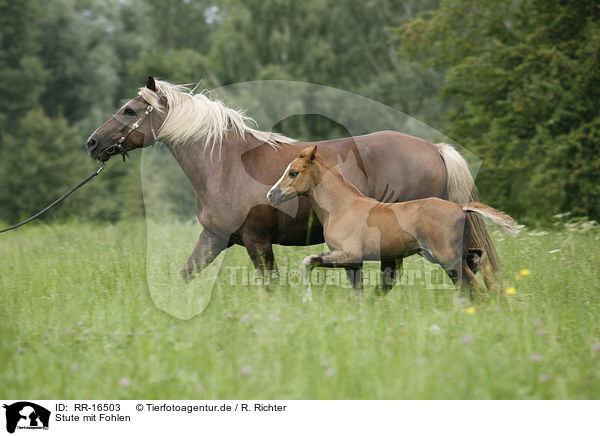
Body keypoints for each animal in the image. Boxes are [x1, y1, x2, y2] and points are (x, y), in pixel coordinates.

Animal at [268, 146, 520, 300]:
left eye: (293, 173)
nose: (271, 195)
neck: (342, 207)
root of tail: (460, 208)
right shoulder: (352, 262)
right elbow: (357, 291)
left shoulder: (347, 254)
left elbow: (307, 262)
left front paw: (307, 299)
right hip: (450, 256)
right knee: (476, 262)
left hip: (448, 259)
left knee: (475, 288)